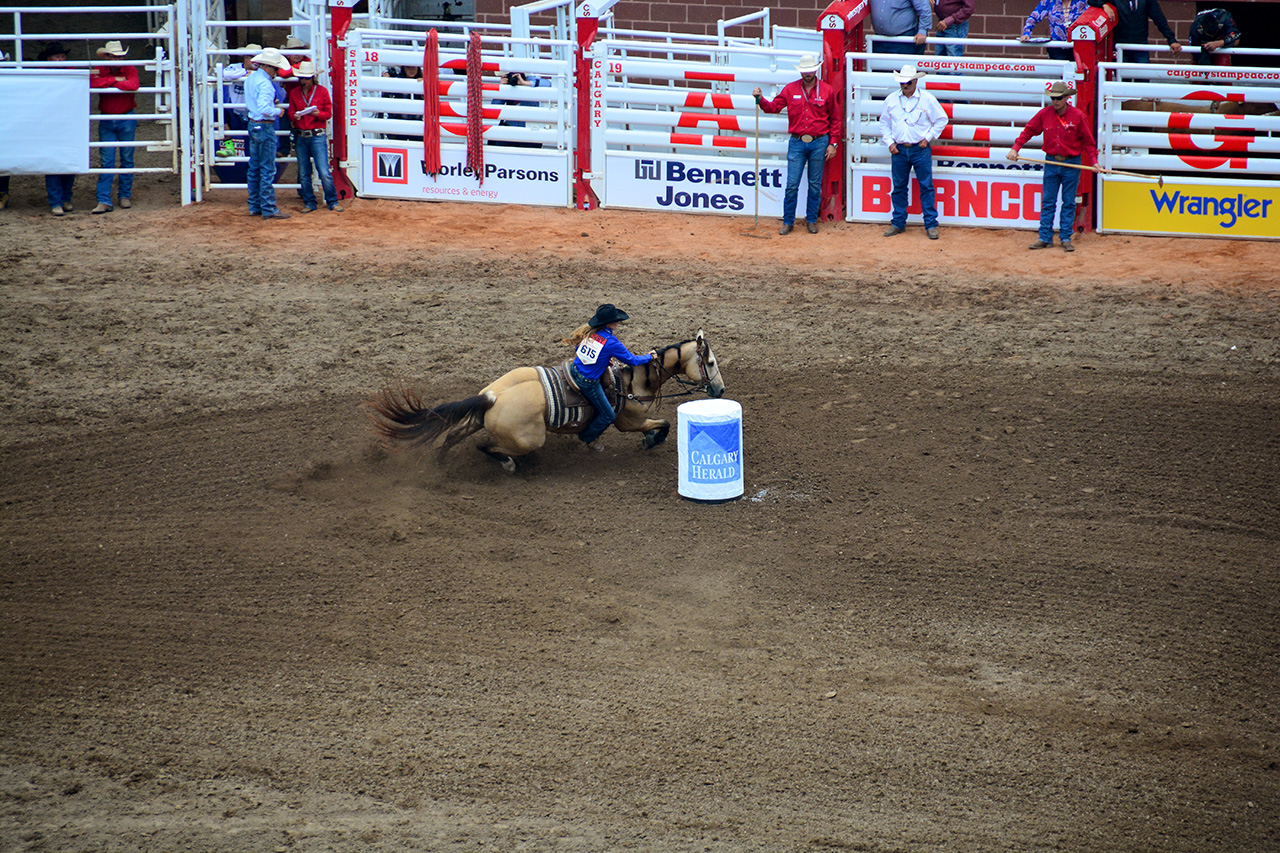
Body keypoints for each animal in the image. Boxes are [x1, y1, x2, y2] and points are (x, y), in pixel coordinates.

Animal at [366, 326, 727, 471]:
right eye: (710, 363)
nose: (721, 390)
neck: (632, 380)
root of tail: (493, 398)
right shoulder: (628, 421)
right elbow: (663, 424)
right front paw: (650, 441)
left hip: (479, 417)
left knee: (454, 435)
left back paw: (440, 464)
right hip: (527, 438)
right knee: (487, 446)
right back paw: (509, 464)